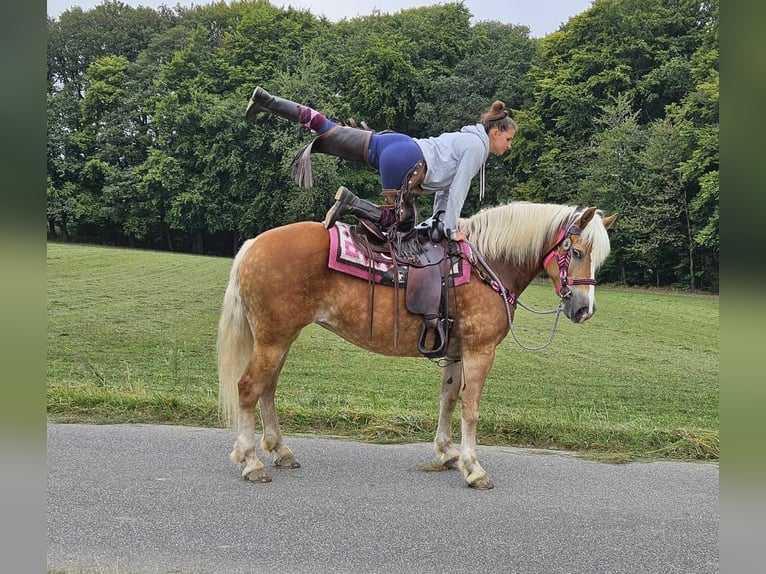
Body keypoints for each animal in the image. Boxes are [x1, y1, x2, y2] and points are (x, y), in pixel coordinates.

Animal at [216, 202, 616, 490]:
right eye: (577, 253)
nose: (584, 309)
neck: (487, 264)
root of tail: (253, 244)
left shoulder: (456, 353)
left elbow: (448, 400)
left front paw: (447, 453)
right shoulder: (480, 351)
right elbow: (470, 408)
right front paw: (473, 468)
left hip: (280, 338)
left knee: (268, 389)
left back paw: (280, 451)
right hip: (273, 339)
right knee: (248, 389)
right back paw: (251, 461)